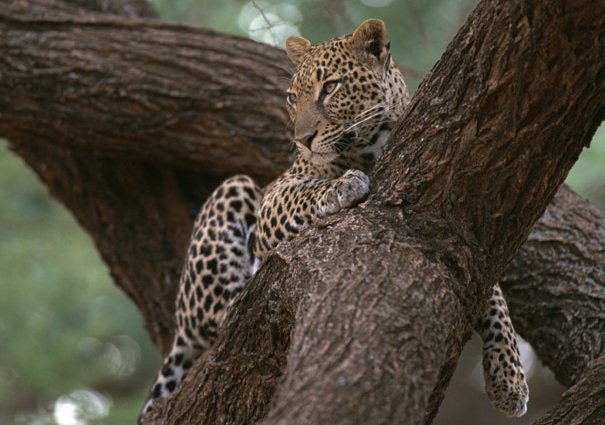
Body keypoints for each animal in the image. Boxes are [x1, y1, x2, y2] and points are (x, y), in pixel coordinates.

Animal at [139, 17, 528, 420]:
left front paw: (510, 378)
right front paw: (343, 185)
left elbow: (495, 296)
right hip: (233, 193)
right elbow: (303, 195)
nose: (302, 140)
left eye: (330, 88)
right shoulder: (275, 196)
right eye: (292, 97)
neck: (370, 146)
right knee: (215, 319)